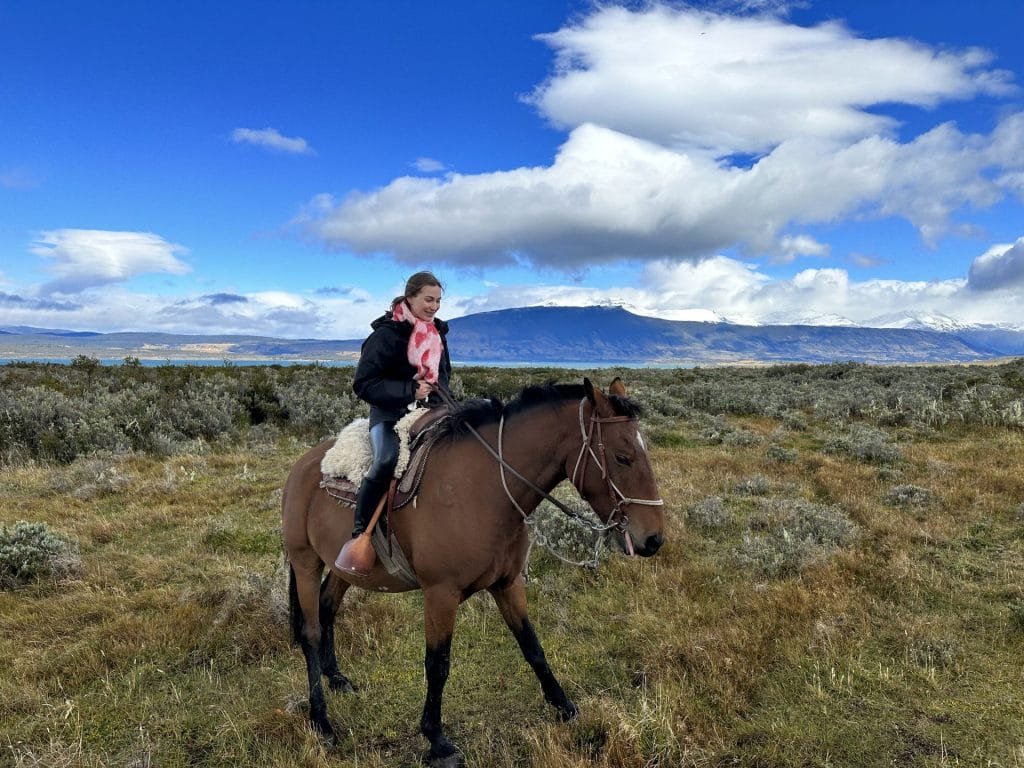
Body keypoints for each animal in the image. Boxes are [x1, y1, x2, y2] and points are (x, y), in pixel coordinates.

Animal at [282, 380, 663, 768]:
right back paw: (322, 722)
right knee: (310, 632)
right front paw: (437, 740)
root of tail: (303, 466)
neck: (484, 489)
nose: (653, 539)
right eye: (622, 457)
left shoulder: (507, 584)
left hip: (343, 567)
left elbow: (532, 646)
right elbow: (437, 664)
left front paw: (563, 705)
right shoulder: (440, 593)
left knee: (328, 607)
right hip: (305, 561)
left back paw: (337, 678)